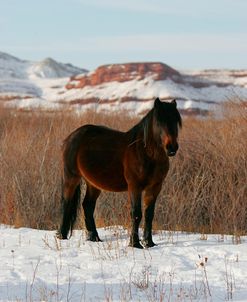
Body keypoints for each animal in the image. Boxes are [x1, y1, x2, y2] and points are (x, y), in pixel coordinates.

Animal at [57, 98, 181, 249]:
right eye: (159, 122)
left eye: (176, 121)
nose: (171, 147)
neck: (145, 153)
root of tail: (71, 137)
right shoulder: (134, 186)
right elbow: (136, 214)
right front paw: (135, 243)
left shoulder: (155, 187)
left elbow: (149, 214)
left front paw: (149, 243)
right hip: (71, 177)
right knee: (66, 203)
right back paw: (61, 236)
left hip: (93, 184)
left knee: (87, 206)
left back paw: (94, 238)